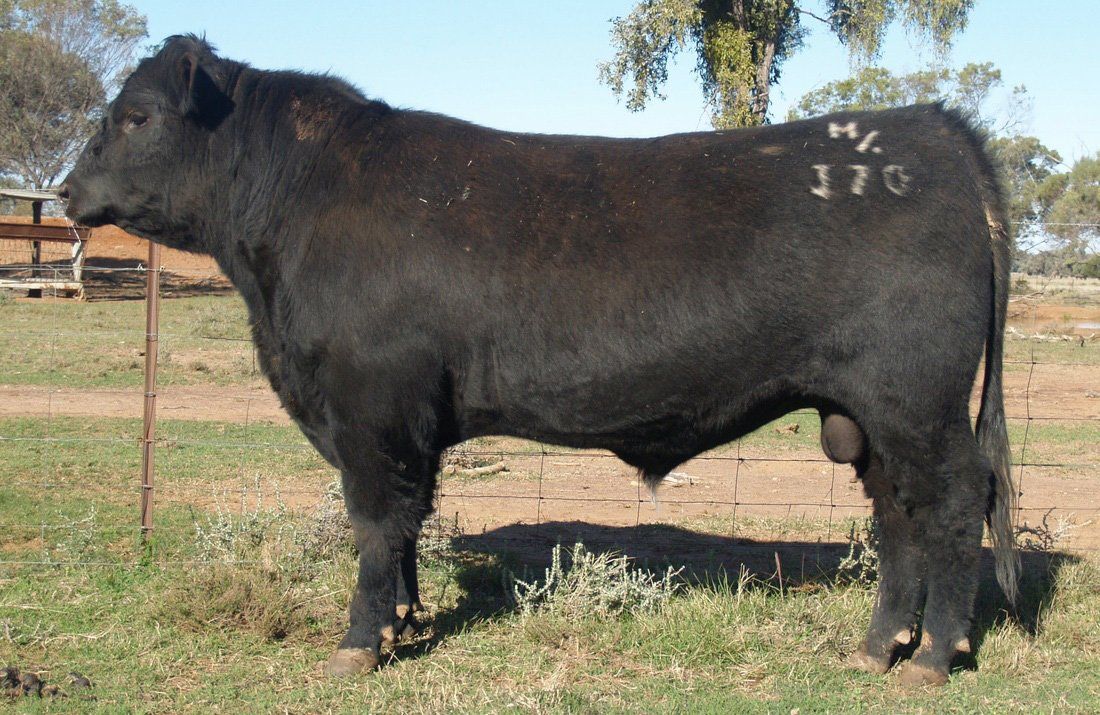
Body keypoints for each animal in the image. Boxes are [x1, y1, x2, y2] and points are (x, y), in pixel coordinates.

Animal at [61, 35, 1016, 687]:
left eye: (137, 116)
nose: (68, 191)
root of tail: (933, 126)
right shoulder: (405, 420)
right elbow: (407, 525)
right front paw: (405, 620)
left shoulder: (371, 407)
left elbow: (374, 522)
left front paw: (359, 643)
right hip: (865, 414)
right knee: (898, 515)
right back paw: (878, 646)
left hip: (917, 401)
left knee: (954, 501)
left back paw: (934, 653)